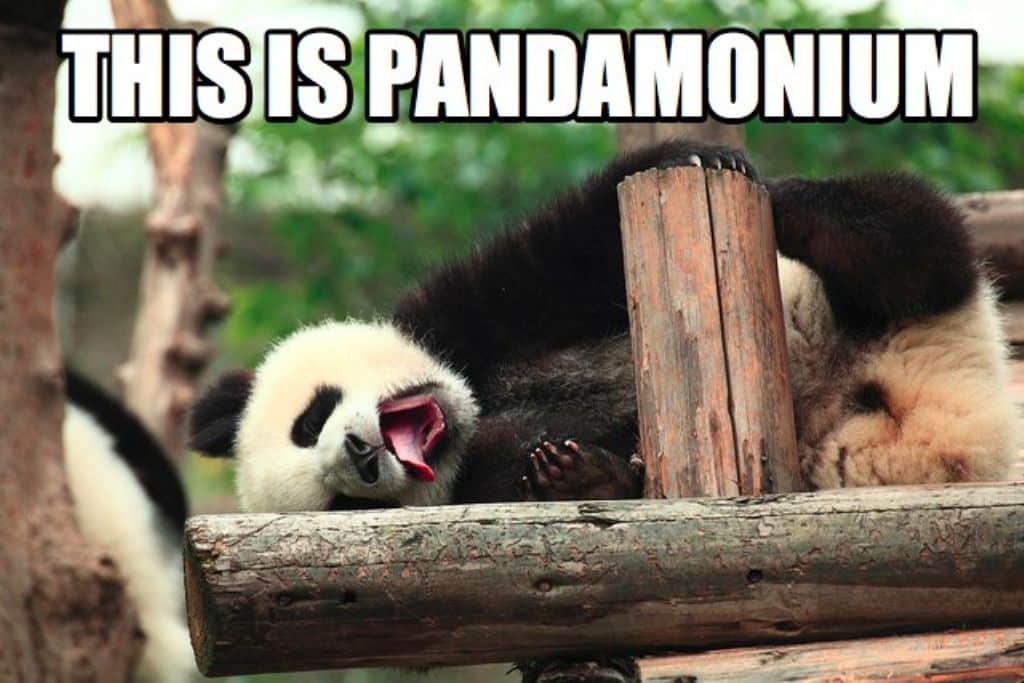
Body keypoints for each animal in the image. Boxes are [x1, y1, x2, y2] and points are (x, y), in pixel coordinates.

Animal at [189, 139, 1017, 511]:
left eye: (312, 417)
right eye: (343, 504)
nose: (359, 455)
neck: (476, 405)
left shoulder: (463, 311)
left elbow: (567, 251)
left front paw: (699, 154)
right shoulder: (474, 479)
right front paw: (580, 470)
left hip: (871, 305)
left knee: (910, 242)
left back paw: (802, 211)